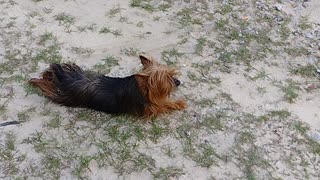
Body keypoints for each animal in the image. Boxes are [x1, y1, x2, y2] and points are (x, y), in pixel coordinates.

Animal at [29, 54, 188, 119]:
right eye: (165, 81)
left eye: (171, 74)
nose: (178, 82)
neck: (142, 89)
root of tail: (68, 79)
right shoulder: (150, 108)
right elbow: (164, 105)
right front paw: (179, 103)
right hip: (63, 96)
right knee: (48, 87)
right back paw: (34, 81)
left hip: (73, 69)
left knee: (50, 73)